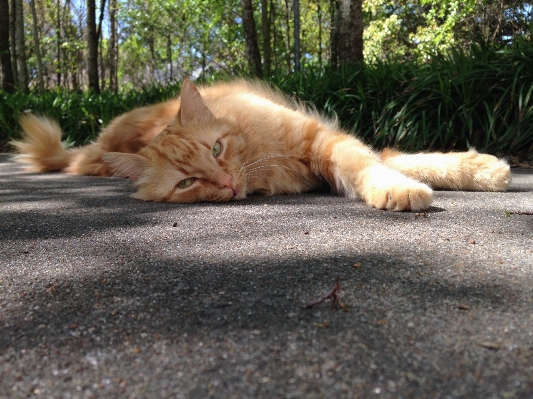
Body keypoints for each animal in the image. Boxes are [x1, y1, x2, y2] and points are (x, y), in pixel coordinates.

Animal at [12, 77, 510, 209]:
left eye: (216, 148)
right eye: (186, 183)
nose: (228, 185)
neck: (260, 156)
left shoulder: (327, 140)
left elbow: (397, 161)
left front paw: (483, 170)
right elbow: (383, 167)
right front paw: (398, 189)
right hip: (96, 158)